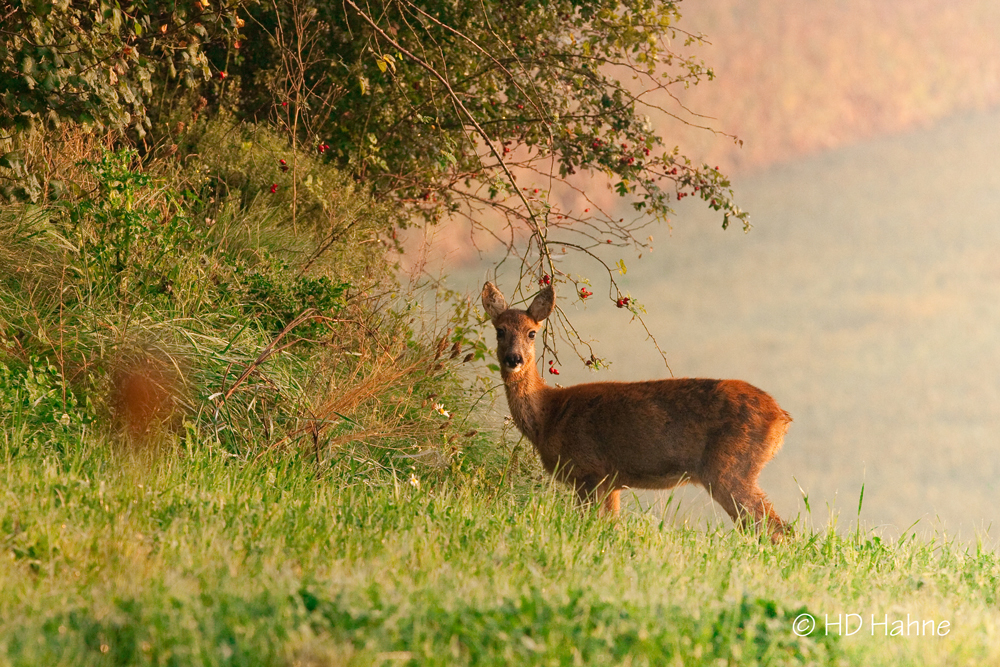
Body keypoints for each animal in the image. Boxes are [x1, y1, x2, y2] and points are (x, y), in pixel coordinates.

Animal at [480, 280, 792, 540]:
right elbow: (610, 525)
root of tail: (781, 418)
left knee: (774, 527)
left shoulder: (589, 471)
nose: (514, 359)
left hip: (730, 468)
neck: (548, 415)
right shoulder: (610, 481)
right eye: (500, 331)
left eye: (532, 333)